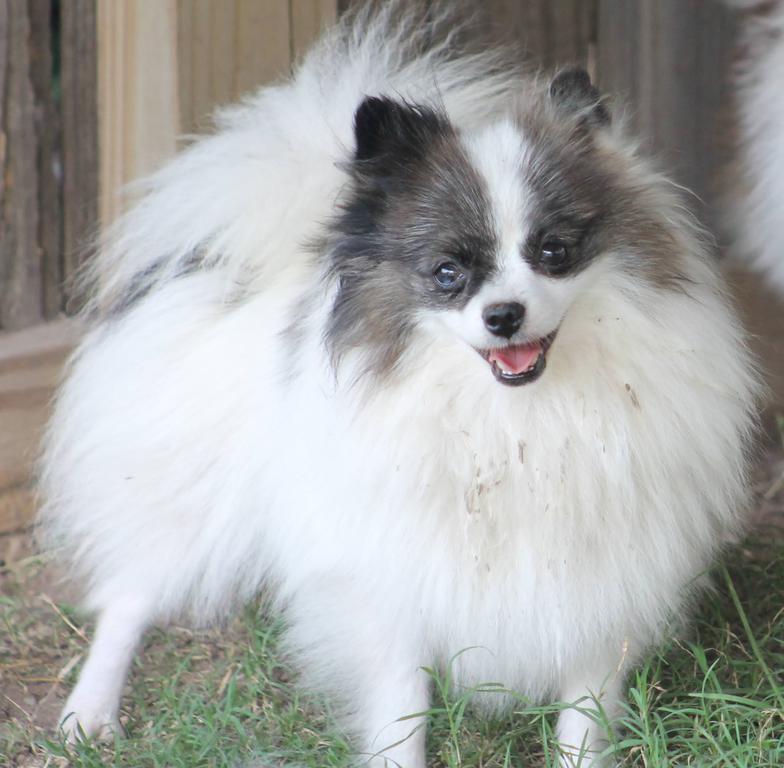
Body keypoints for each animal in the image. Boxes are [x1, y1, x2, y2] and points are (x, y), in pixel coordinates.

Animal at [38, 6, 760, 768]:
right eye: (448, 273)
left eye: (553, 251)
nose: (504, 315)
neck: (515, 419)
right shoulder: (390, 588)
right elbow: (401, 712)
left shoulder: (599, 585)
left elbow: (583, 718)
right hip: (185, 496)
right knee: (128, 597)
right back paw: (90, 713)